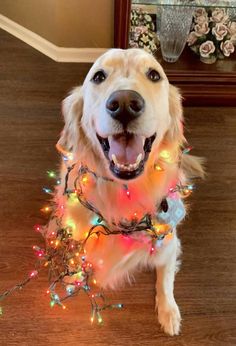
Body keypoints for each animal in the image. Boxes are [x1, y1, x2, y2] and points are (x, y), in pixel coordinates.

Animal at [52, 48, 204, 336]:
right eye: (98, 76)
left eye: (154, 75)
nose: (124, 103)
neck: (125, 193)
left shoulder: (169, 242)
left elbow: (165, 280)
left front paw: (169, 312)